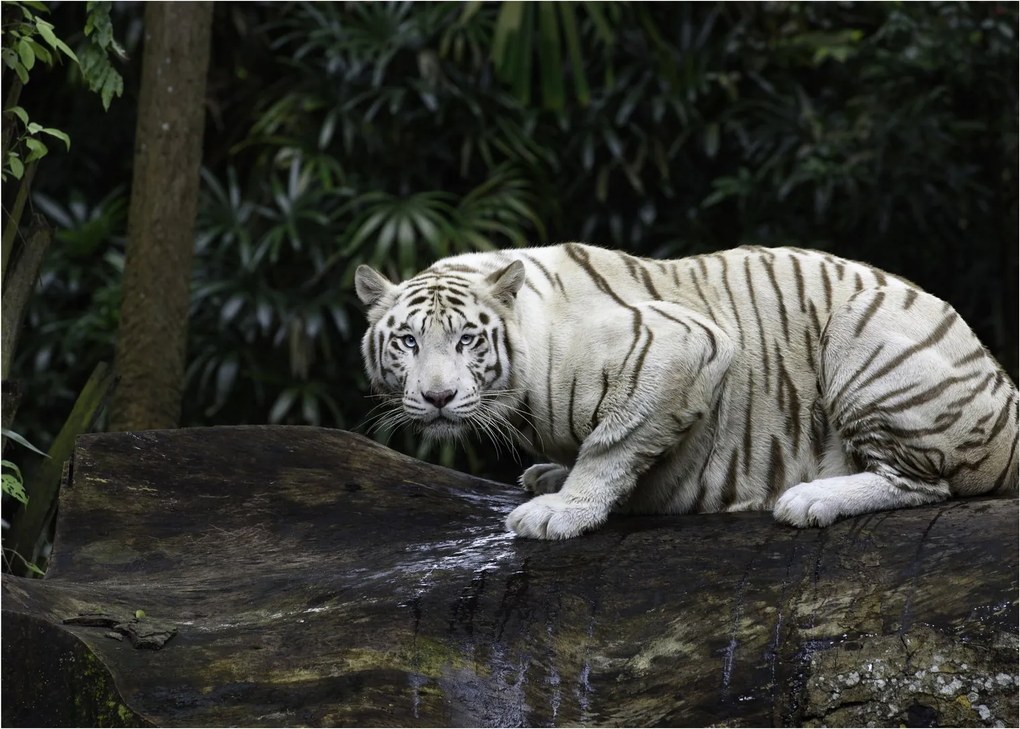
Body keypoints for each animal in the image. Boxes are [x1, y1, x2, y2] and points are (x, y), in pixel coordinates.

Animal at [355, 243, 1018, 540]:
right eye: (408, 342)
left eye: (467, 339)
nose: (438, 398)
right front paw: (550, 477)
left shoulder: (685, 344)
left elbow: (611, 445)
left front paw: (561, 510)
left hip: (864, 330)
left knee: (924, 485)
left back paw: (811, 498)